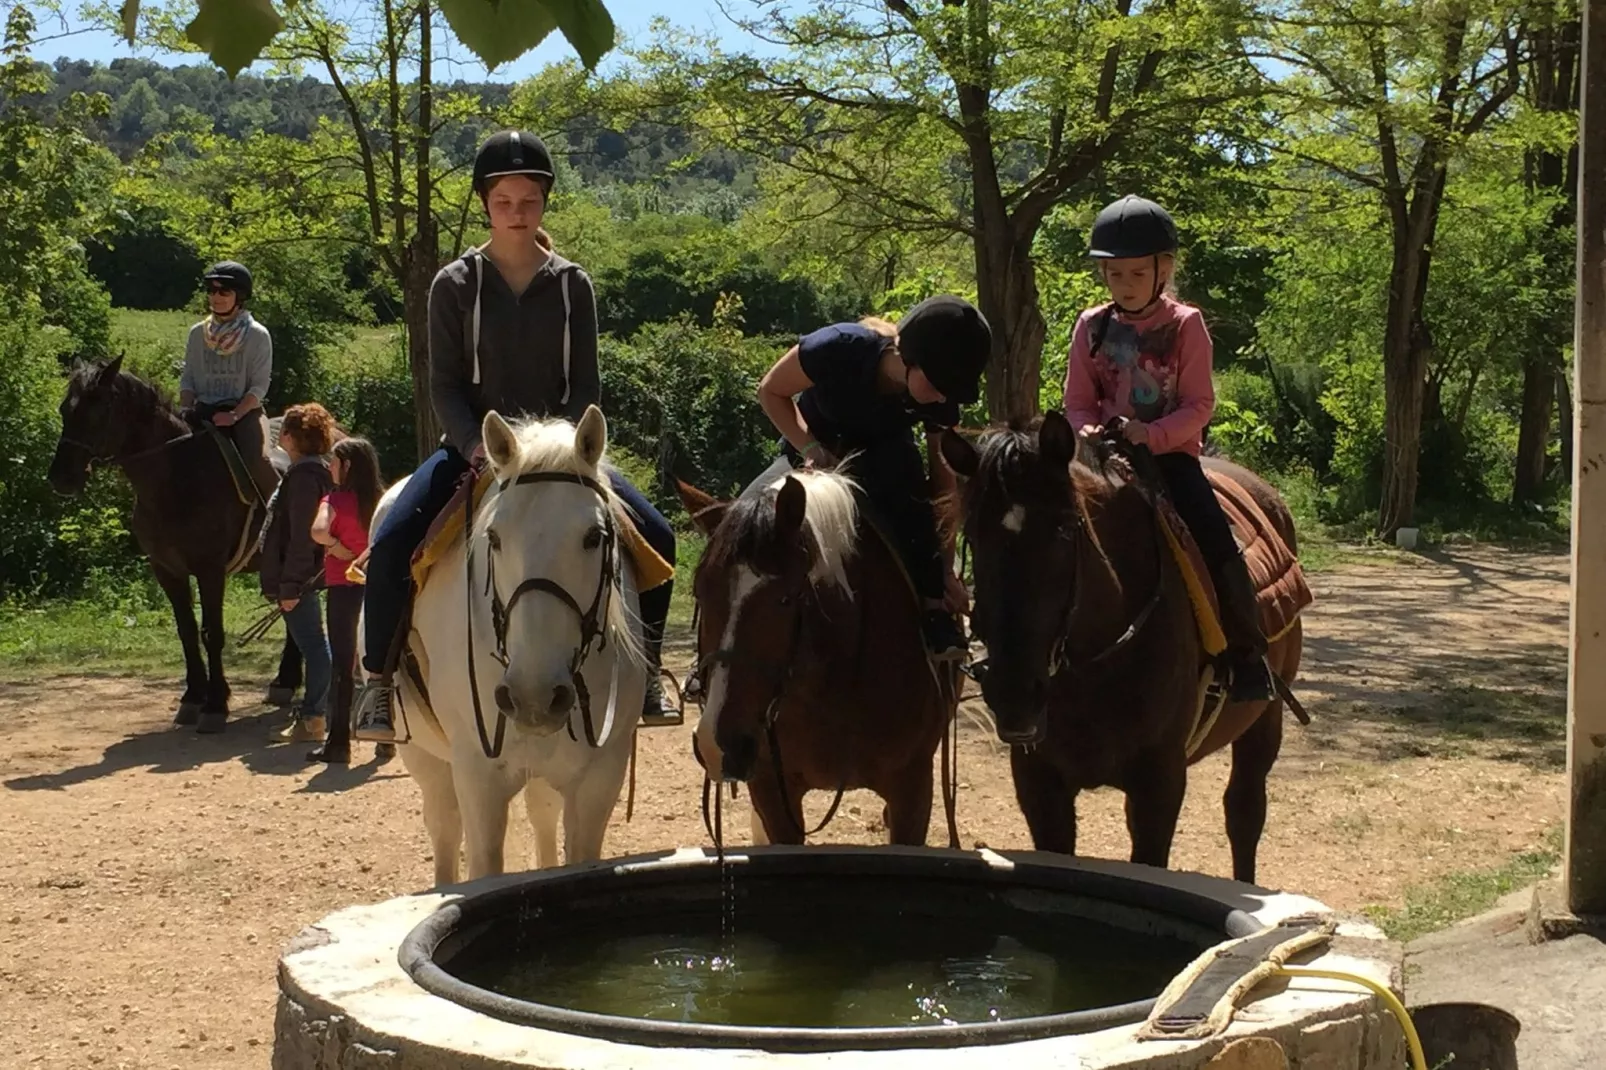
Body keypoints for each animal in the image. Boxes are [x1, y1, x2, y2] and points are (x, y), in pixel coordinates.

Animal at [46, 353, 297, 729]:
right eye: (65, 410)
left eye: (96, 412)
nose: (61, 478)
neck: (177, 477)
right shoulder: (167, 570)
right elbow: (187, 631)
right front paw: (193, 698)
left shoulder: (210, 570)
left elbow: (212, 632)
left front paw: (215, 704)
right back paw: (286, 680)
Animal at [364, 404, 645, 880]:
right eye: (493, 537)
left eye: (594, 537)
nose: (533, 697)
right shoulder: (479, 778)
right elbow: (482, 866)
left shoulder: (600, 778)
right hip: (426, 758)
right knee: (444, 828)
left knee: (542, 815)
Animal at [937, 411, 1304, 880]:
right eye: (974, 535)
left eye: (1065, 529)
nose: (1013, 693)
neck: (1096, 665)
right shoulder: (1039, 783)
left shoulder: (1159, 784)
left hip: (1264, 721)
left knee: (1244, 813)